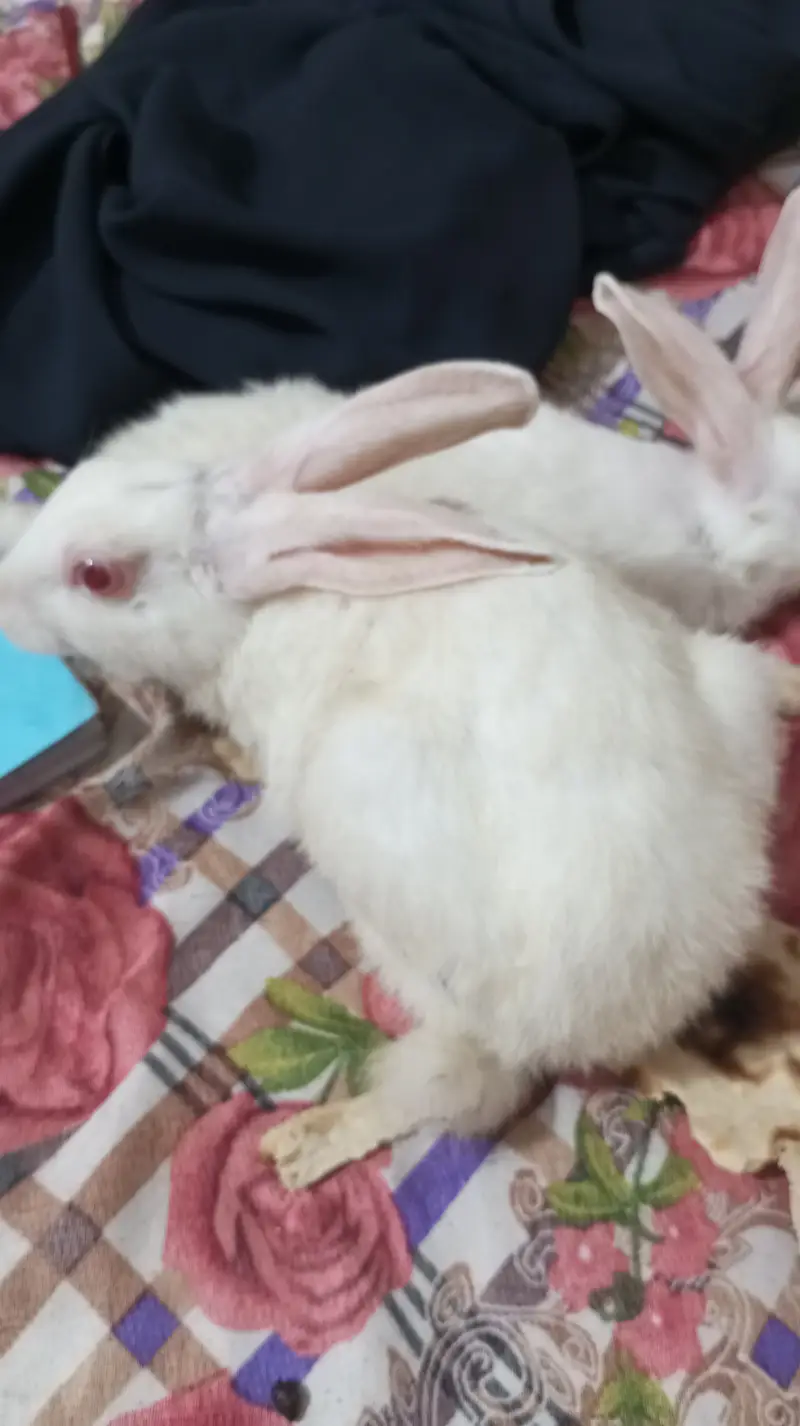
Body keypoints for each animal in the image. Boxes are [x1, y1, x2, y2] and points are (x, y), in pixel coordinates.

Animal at [2, 359, 800, 1189]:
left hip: (372, 828)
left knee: (460, 1085)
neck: (254, 607)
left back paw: (304, 1147)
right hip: (724, 687)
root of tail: (654, 991)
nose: (6, 597)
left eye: (96, 575)